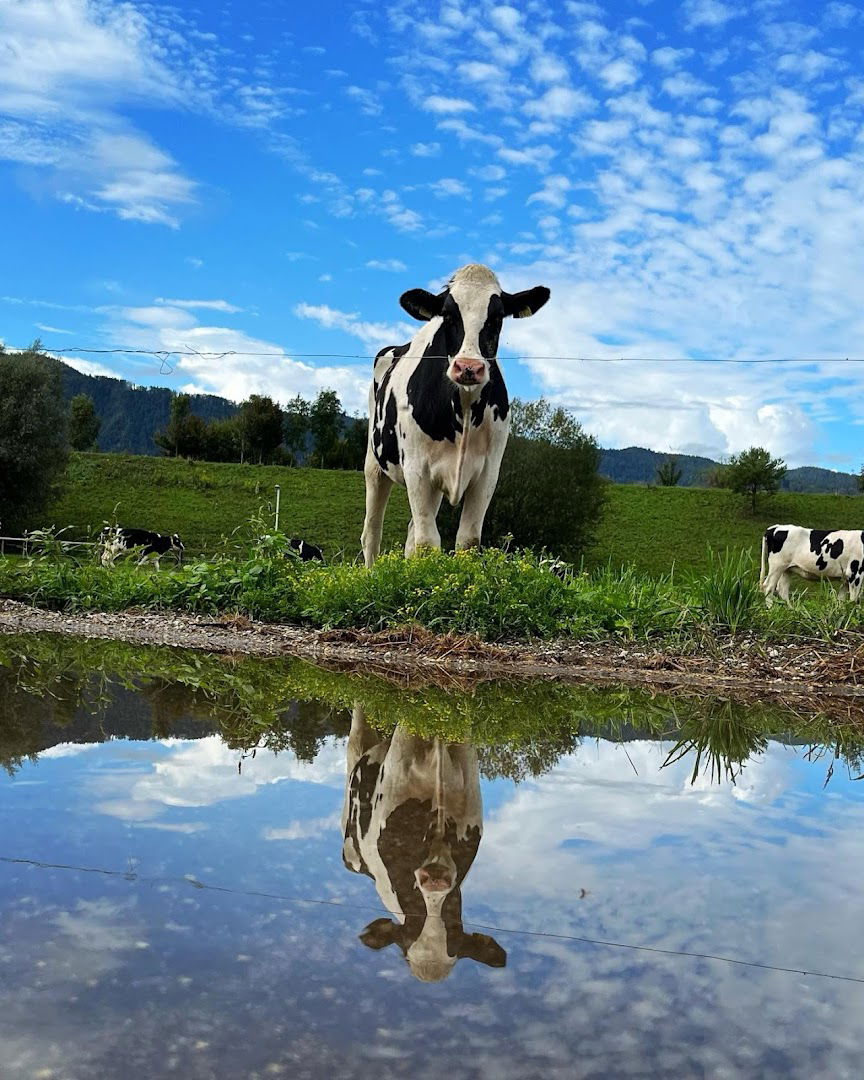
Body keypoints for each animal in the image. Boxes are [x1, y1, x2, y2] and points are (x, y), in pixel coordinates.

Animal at [360, 263, 550, 565]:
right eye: (448, 315)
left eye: (497, 318)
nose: (469, 367)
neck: (464, 405)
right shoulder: (416, 467)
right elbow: (427, 543)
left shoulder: (488, 472)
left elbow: (467, 541)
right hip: (374, 464)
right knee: (372, 533)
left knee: (411, 534)